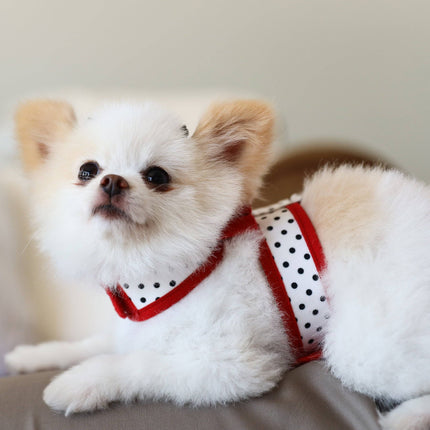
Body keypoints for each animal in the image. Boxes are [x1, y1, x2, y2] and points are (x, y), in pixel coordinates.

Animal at [4, 99, 430, 428]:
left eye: (156, 176)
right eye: (87, 170)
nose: (111, 181)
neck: (158, 276)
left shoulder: (232, 364)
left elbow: (138, 364)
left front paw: (79, 382)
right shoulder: (136, 329)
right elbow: (94, 343)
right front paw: (35, 356)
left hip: (363, 347)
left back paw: (407, 417)